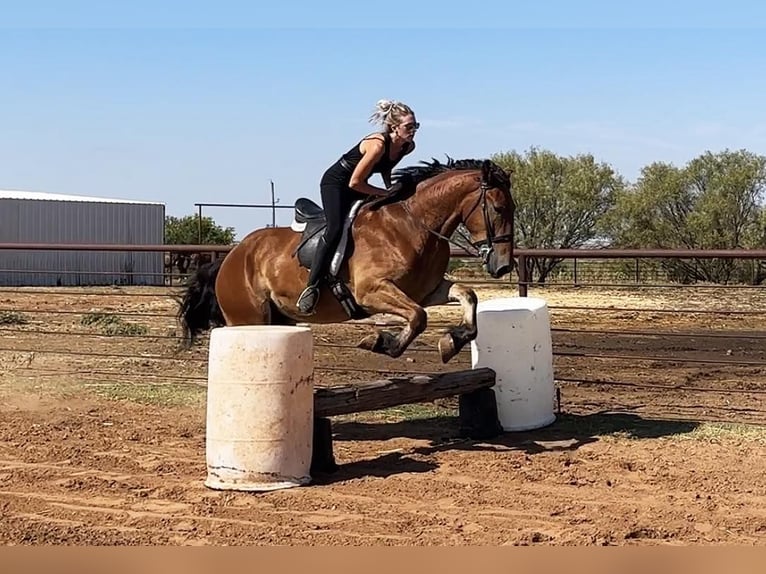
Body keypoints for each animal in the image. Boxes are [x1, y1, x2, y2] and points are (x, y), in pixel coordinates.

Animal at [176, 158, 516, 364]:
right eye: (499, 208)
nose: (503, 266)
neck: (413, 223)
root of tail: (231, 257)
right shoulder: (371, 291)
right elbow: (418, 318)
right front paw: (380, 342)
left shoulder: (426, 291)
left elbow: (467, 295)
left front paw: (453, 341)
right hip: (249, 318)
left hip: (279, 317)